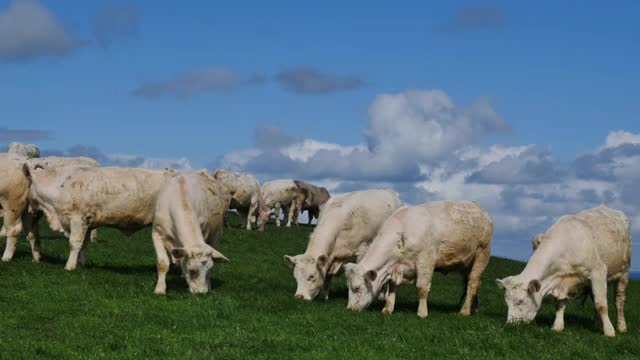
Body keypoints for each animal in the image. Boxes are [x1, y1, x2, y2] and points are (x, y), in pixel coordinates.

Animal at [23, 165, 176, 268]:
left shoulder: (77, 219)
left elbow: (74, 243)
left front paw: (69, 266)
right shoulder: (87, 222)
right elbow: (83, 244)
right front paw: (80, 264)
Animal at [344, 202, 490, 318]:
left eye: (357, 287)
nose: (350, 309)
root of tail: (480, 209)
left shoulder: (426, 260)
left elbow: (422, 288)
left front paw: (422, 313)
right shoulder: (395, 267)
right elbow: (392, 286)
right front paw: (387, 309)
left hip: (482, 253)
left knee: (473, 282)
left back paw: (464, 311)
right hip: (465, 263)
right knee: (475, 283)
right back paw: (473, 308)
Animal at [496, 205, 632, 338]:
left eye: (521, 301)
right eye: (506, 302)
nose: (511, 324)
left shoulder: (598, 272)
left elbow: (601, 305)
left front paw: (609, 331)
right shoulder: (561, 280)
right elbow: (560, 303)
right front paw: (557, 326)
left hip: (624, 272)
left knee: (619, 300)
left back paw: (621, 327)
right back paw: (597, 325)